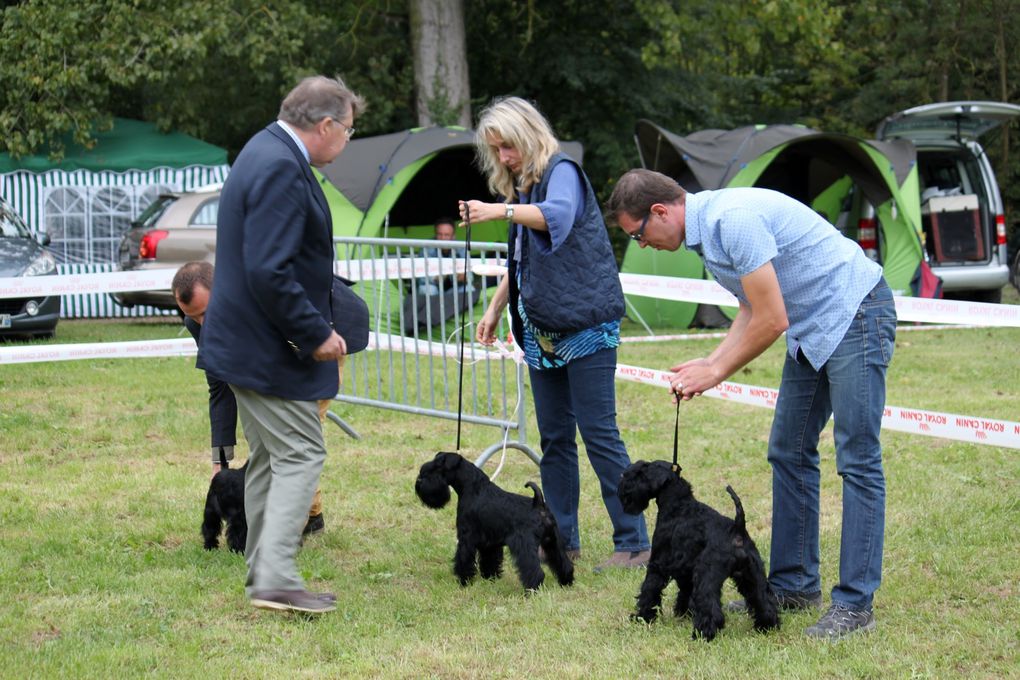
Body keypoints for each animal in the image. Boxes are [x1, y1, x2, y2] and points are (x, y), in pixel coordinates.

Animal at [414, 452, 575, 591]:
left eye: (437, 468)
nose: (419, 481)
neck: (474, 488)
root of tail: (539, 504)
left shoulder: (467, 537)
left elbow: (464, 559)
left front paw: (464, 581)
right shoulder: (489, 543)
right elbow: (489, 561)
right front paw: (490, 578)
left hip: (525, 545)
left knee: (534, 570)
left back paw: (532, 589)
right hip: (552, 543)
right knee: (563, 563)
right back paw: (566, 582)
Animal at [612, 460, 779, 640]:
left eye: (641, 472)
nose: (622, 480)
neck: (679, 506)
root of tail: (737, 530)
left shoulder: (657, 564)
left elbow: (649, 591)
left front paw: (642, 617)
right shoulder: (685, 571)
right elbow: (685, 592)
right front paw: (683, 613)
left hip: (707, 576)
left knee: (710, 607)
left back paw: (702, 633)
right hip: (752, 575)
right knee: (764, 601)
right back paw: (766, 626)